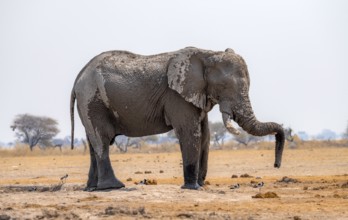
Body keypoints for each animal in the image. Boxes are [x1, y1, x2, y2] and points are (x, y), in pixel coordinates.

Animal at [69, 46, 284, 191]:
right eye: (224, 87)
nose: (276, 165)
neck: (207, 53)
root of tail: (78, 76)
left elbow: (205, 135)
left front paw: (200, 185)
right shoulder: (177, 96)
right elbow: (190, 133)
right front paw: (192, 188)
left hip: (90, 101)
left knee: (93, 142)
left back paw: (92, 188)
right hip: (92, 99)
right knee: (102, 139)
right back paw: (113, 186)